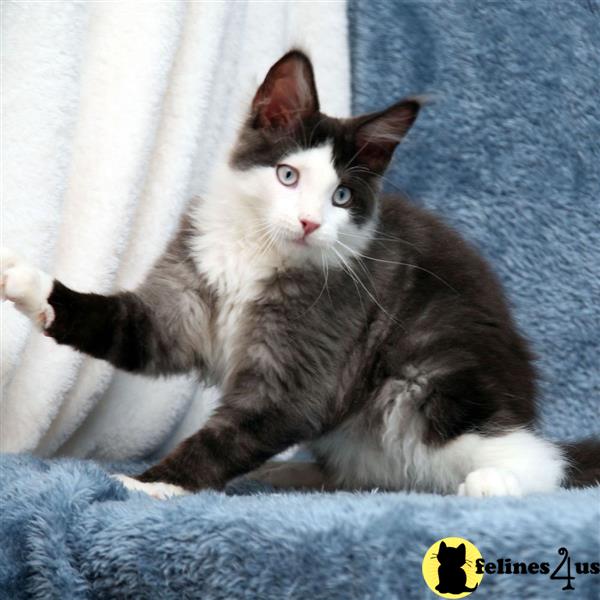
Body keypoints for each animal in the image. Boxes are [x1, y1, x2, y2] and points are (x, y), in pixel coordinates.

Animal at [2, 50, 596, 496]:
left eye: (341, 197)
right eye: (287, 176)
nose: (310, 222)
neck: (256, 252)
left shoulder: (304, 367)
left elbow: (227, 435)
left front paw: (150, 485)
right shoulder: (180, 308)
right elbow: (109, 320)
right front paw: (26, 282)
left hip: (430, 380)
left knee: (542, 461)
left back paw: (496, 482)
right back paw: (290, 472)